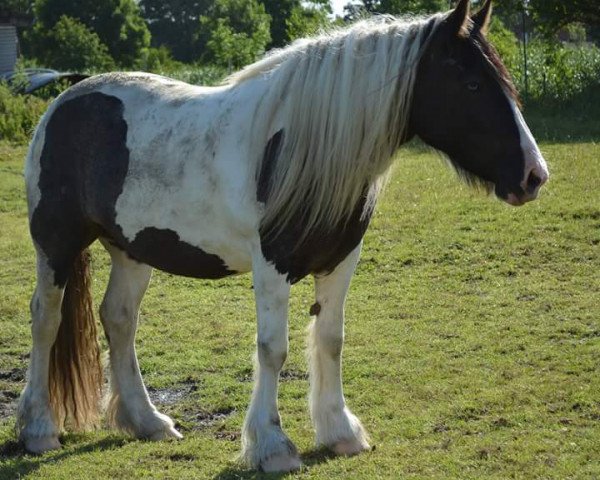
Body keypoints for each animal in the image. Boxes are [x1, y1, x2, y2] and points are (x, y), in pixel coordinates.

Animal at [16, 0, 548, 472]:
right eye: (473, 83)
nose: (534, 175)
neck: (301, 149)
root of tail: (64, 102)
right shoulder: (272, 264)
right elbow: (273, 349)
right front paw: (272, 446)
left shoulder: (341, 260)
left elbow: (331, 339)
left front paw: (341, 432)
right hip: (56, 243)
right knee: (46, 317)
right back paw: (39, 429)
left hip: (130, 248)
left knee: (120, 319)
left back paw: (148, 421)